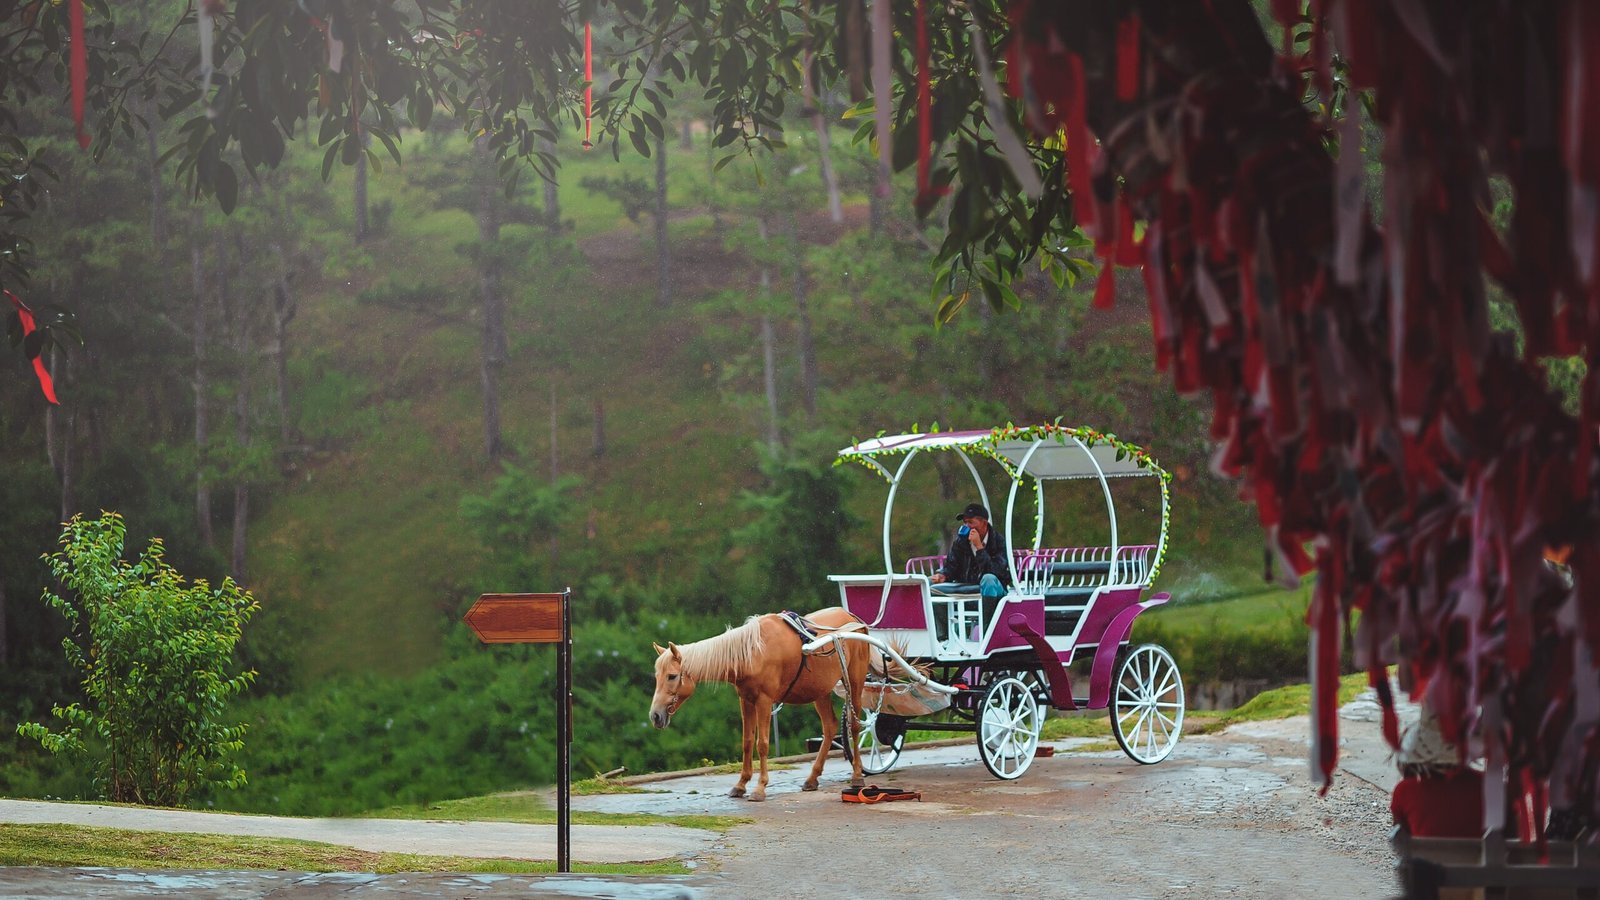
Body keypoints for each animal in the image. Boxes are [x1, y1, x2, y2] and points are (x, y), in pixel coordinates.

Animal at [646, 605, 876, 794]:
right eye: (657, 676)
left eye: (672, 676)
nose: (655, 715)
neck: (752, 653)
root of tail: (852, 617)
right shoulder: (746, 701)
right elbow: (747, 742)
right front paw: (741, 785)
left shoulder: (764, 701)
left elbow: (762, 743)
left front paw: (760, 787)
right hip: (820, 691)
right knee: (829, 727)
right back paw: (812, 779)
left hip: (855, 683)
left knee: (855, 726)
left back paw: (857, 775)